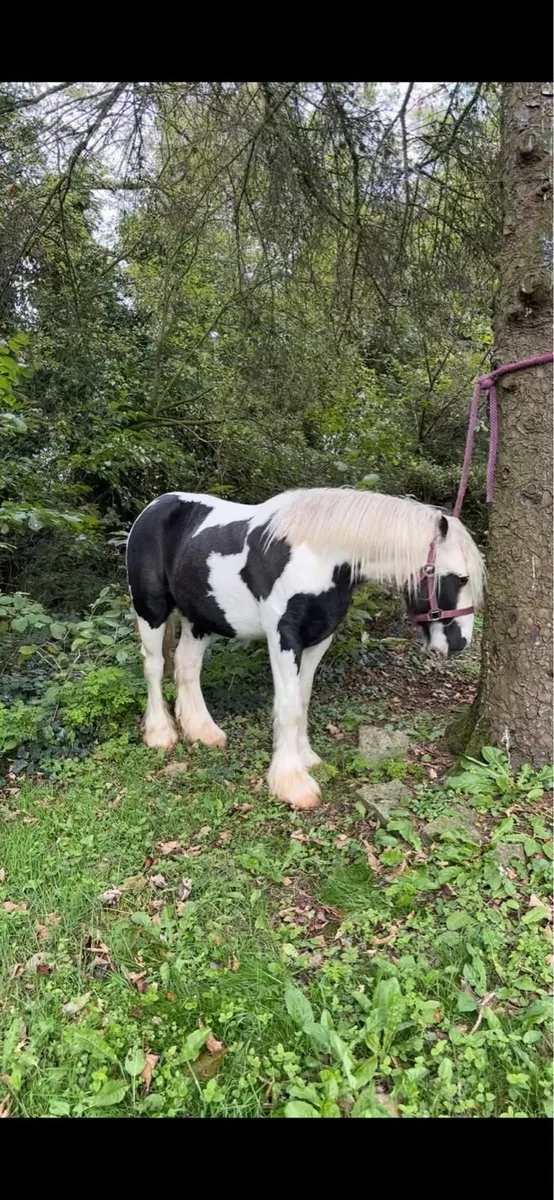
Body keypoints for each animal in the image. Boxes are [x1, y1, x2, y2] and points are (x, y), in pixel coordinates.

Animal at [126, 487, 485, 810]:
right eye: (461, 579)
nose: (459, 643)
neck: (319, 557)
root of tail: (156, 506)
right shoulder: (284, 638)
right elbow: (287, 706)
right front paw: (292, 784)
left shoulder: (319, 639)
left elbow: (302, 699)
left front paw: (306, 758)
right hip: (151, 611)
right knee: (154, 666)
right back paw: (160, 734)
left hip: (199, 619)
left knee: (186, 665)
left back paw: (203, 732)